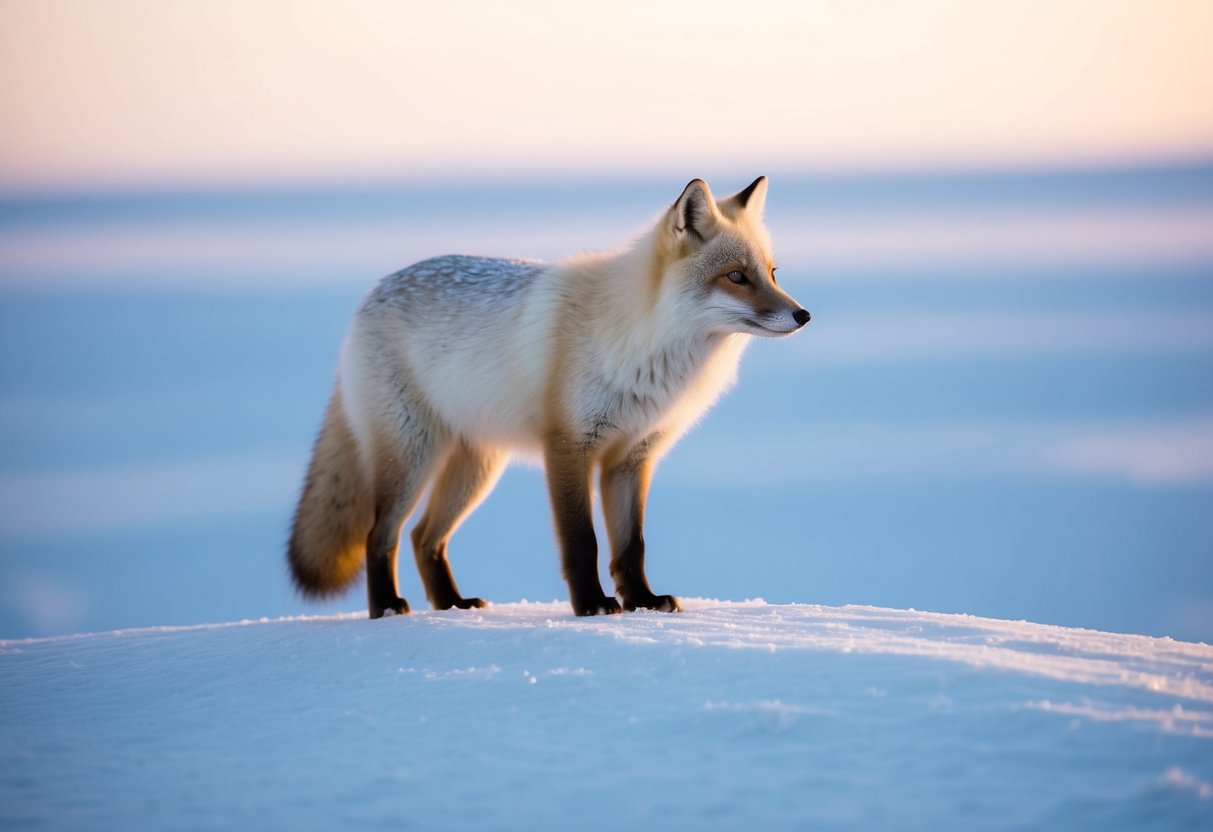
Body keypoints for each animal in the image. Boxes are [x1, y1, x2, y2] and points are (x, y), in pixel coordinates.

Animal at [287, 176, 810, 618]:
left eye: (772, 273)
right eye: (736, 277)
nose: (803, 315)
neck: (643, 343)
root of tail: (371, 294)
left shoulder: (631, 458)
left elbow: (631, 546)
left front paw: (642, 601)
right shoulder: (569, 447)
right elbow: (583, 542)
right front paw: (592, 606)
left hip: (476, 469)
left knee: (423, 538)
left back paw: (452, 604)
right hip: (413, 460)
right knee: (381, 536)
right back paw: (387, 609)